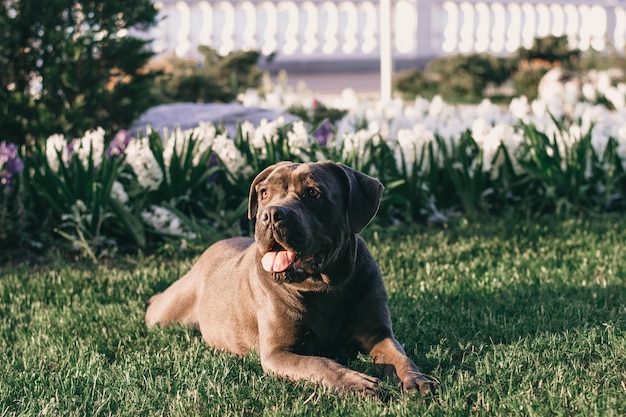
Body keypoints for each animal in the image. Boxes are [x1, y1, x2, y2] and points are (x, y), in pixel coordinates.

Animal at [144, 161, 436, 394]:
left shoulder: (377, 332)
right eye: (264, 193)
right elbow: (320, 363)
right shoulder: (278, 352)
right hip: (168, 311)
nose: (271, 214)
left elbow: (399, 356)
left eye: (313, 193)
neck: (324, 286)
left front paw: (416, 379)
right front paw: (356, 382)